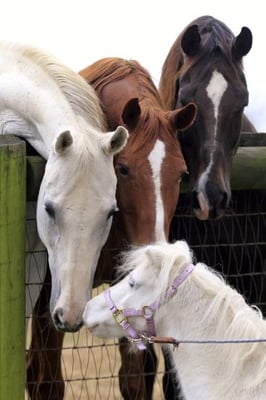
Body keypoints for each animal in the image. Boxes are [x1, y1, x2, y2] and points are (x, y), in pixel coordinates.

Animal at [26, 57, 197, 398]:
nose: (153, 246)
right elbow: (47, 382)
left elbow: (133, 380)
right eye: (124, 168)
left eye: (182, 174)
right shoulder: (50, 303)